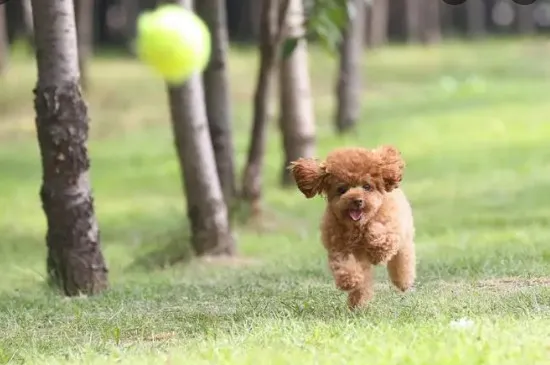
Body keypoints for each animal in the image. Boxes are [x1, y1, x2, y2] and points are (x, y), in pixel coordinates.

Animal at [292, 144, 416, 308]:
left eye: (367, 186)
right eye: (342, 189)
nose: (357, 200)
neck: (358, 226)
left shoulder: (391, 230)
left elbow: (381, 237)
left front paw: (377, 252)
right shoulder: (338, 247)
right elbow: (343, 265)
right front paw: (348, 281)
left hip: (404, 239)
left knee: (403, 260)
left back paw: (403, 282)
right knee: (364, 281)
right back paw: (358, 304)